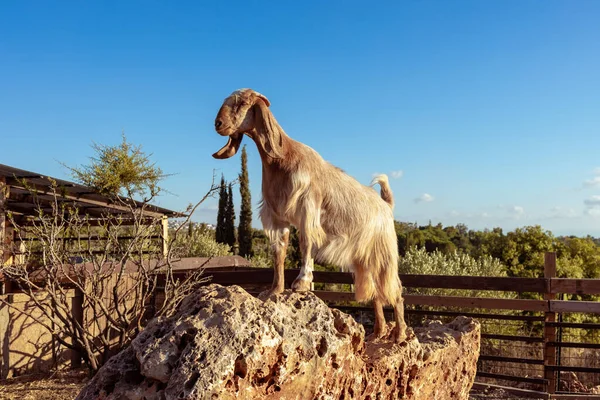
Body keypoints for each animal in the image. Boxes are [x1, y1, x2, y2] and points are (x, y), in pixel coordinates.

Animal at [212, 88, 408, 340]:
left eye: (243, 103)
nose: (218, 124)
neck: (282, 158)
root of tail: (386, 205)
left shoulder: (307, 209)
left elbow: (306, 244)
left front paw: (301, 283)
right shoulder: (278, 217)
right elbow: (279, 251)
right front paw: (275, 289)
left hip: (384, 253)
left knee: (395, 290)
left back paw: (400, 334)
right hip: (364, 257)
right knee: (375, 291)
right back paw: (378, 331)